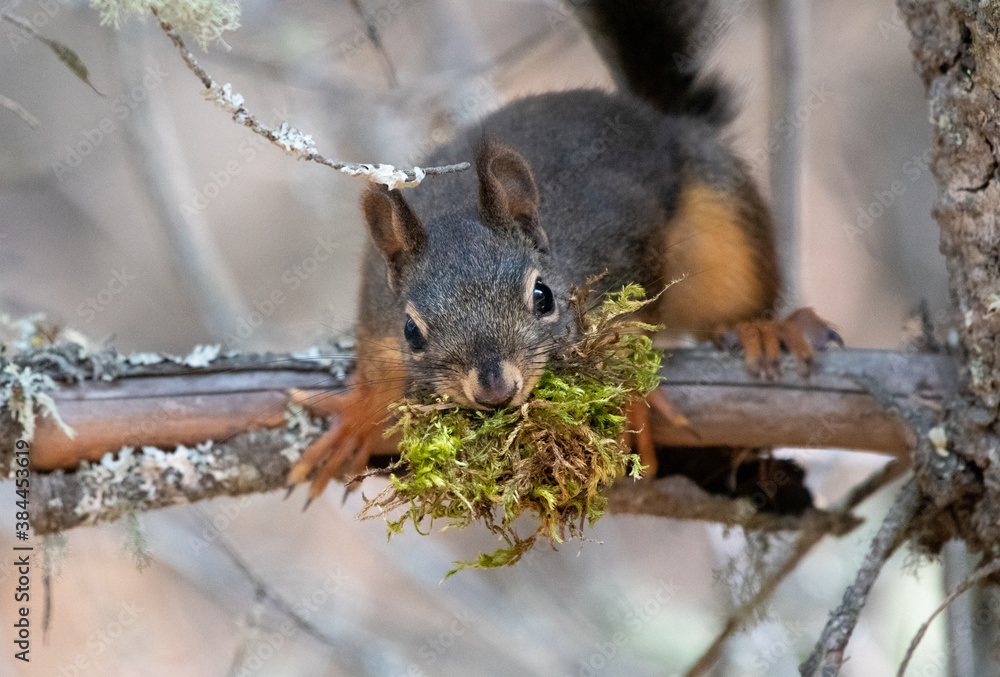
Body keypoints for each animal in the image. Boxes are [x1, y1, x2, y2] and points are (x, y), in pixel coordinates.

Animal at [287, 0, 841, 501]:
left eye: (543, 297)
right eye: (411, 331)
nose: (494, 389)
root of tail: (648, 113)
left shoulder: (622, 251)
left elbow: (632, 327)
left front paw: (629, 398)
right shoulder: (376, 304)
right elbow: (378, 364)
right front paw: (360, 416)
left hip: (722, 216)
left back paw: (762, 330)